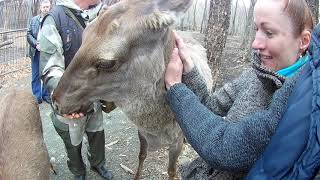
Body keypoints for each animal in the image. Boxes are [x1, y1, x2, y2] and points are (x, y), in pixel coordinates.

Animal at [52, 0, 212, 179]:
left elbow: (172, 170)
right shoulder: (141, 132)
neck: (158, 127)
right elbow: (141, 155)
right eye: (84, 35)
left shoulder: (176, 138)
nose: (56, 101)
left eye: (107, 62)